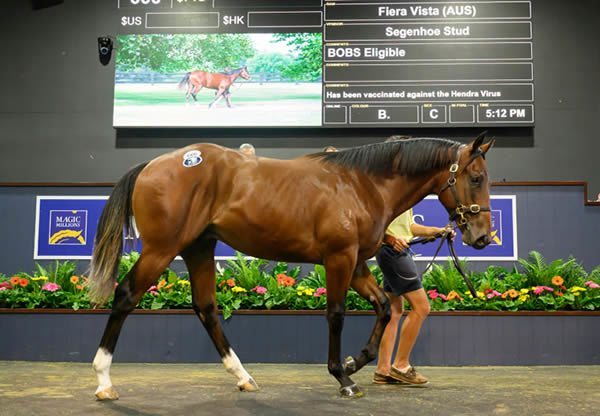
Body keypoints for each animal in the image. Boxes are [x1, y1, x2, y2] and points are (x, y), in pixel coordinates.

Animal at [88, 133, 492, 400]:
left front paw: (354, 363)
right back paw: (104, 381)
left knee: (205, 308)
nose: (482, 236)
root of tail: (153, 165)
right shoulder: (339, 258)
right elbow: (336, 314)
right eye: (475, 178)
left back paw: (243, 376)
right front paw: (343, 378)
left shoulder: (357, 263)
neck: (360, 184)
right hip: (161, 249)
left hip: (198, 248)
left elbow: (382, 308)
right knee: (125, 295)